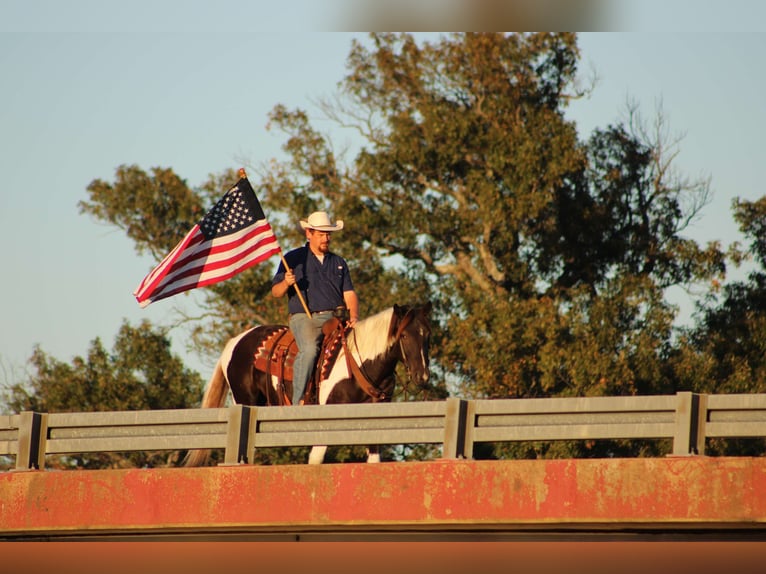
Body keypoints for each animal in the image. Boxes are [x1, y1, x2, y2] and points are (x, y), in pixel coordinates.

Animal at [182, 304, 432, 466]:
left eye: (427, 335)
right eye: (404, 336)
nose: (423, 377)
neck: (359, 364)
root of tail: (235, 342)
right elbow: (316, 458)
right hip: (244, 400)